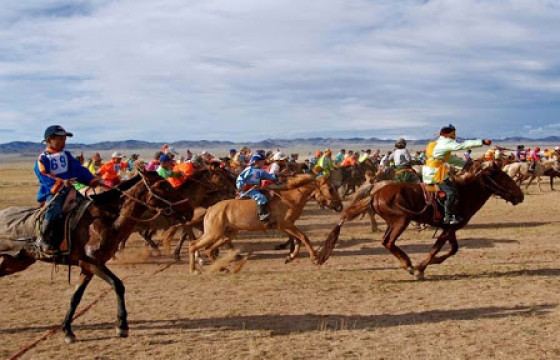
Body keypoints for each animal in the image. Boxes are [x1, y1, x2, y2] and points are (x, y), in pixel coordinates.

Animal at [0, 170, 195, 344]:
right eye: (165, 186)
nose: (190, 210)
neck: (106, 220)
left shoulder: (87, 267)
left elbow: (76, 298)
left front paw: (68, 331)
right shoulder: (93, 263)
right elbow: (118, 285)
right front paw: (122, 326)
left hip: (16, 261)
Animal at [189, 174, 342, 272]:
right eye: (330, 189)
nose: (340, 206)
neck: (289, 198)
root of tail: (210, 209)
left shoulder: (285, 226)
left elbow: (297, 239)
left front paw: (290, 257)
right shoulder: (286, 224)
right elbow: (303, 237)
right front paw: (315, 257)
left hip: (226, 235)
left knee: (208, 249)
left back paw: (221, 268)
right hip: (213, 233)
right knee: (194, 245)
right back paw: (194, 270)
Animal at [316, 165, 524, 280]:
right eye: (505, 178)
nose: (520, 195)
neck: (465, 193)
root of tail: (375, 193)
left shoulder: (450, 228)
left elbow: (453, 249)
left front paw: (432, 263)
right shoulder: (448, 229)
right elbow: (436, 249)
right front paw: (420, 268)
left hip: (393, 223)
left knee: (385, 241)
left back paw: (407, 263)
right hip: (402, 221)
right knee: (389, 242)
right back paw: (408, 265)